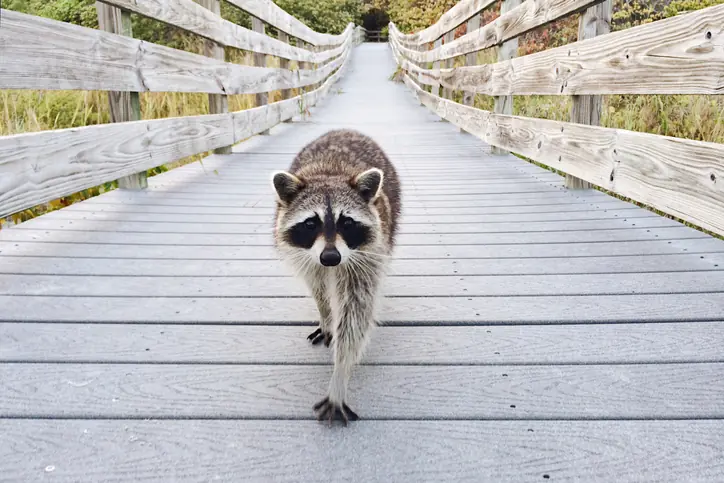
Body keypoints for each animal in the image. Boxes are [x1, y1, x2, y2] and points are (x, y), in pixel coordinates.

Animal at [271, 129, 401, 425]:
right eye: (311, 223)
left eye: (347, 223)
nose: (331, 257)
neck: (331, 173)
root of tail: (345, 130)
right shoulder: (308, 257)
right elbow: (317, 288)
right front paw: (326, 314)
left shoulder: (365, 258)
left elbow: (356, 313)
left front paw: (340, 375)